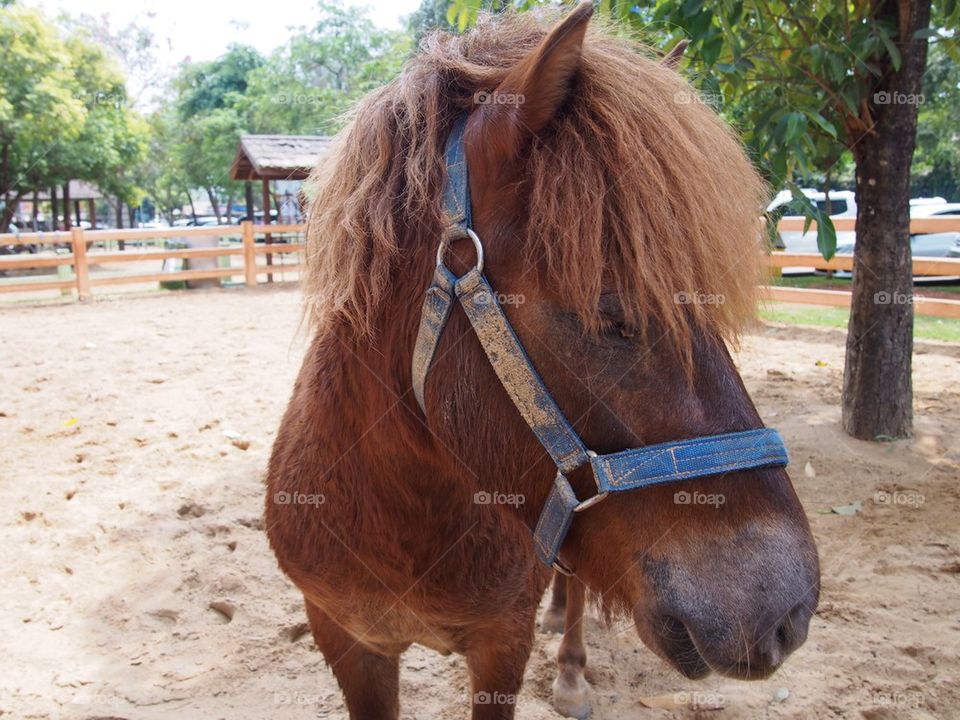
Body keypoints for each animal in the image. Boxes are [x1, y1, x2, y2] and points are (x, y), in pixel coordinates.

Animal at [265, 3, 820, 718]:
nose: (785, 611)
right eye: (610, 314)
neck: (401, 519)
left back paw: (571, 668)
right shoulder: (346, 638)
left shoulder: (502, 644)